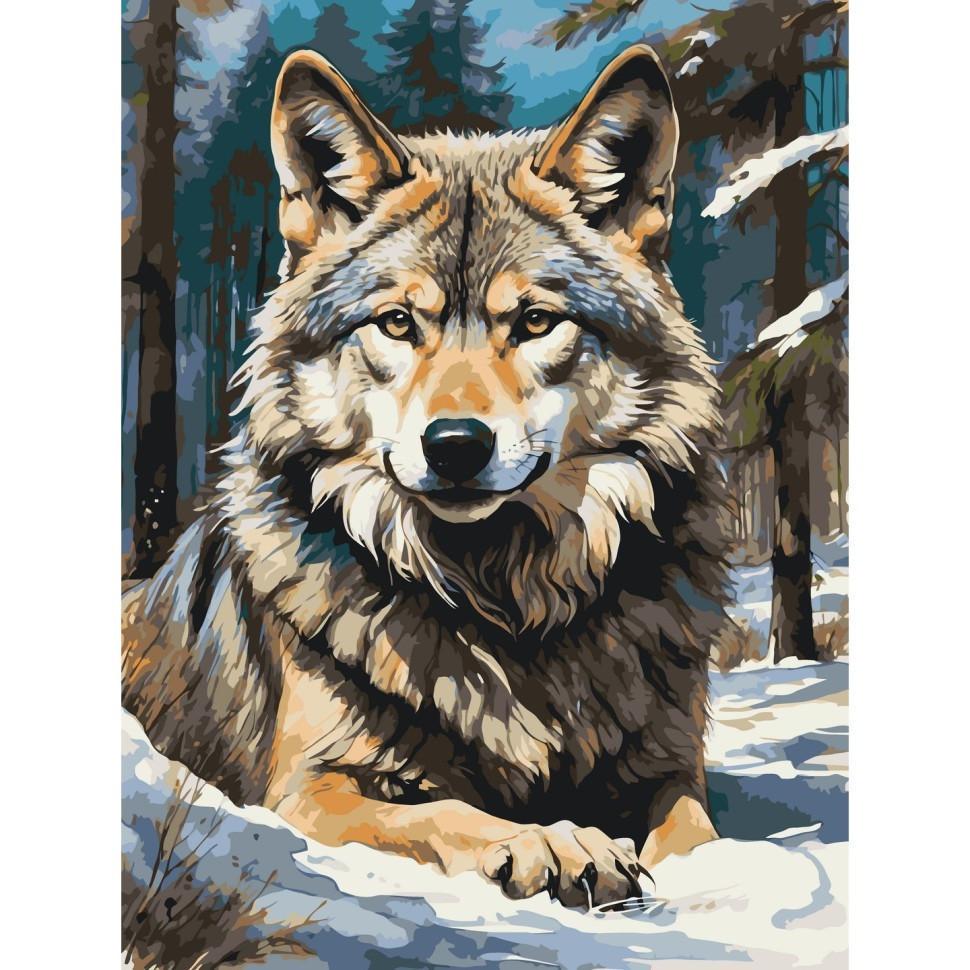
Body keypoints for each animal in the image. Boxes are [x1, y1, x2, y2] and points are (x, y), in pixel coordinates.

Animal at [122, 43, 731, 908]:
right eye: (398, 322)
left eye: (535, 321)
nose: (454, 446)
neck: (504, 600)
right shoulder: (312, 787)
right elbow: (447, 812)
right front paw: (554, 841)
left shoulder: (669, 768)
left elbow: (695, 830)